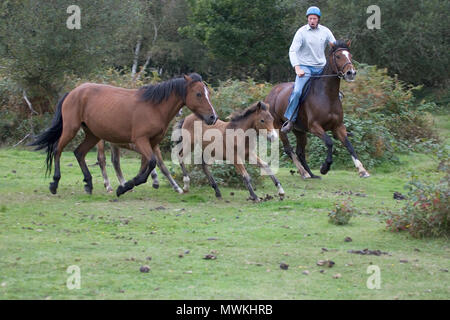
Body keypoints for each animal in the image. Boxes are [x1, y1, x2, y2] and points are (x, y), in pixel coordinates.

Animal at [29, 74, 216, 196]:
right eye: (199, 94)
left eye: (207, 93)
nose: (213, 117)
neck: (154, 107)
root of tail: (73, 92)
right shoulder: (140, 141)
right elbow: (152, 164)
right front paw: (123, 187)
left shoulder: (151, 143)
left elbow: (148, 168)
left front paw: (126, 186)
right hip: (71, 129)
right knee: (57, 150)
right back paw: (55, 183)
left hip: (93, 135)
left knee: (79, 153)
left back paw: (89, 184)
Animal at [264, 40, 370, 179]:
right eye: (338, 56)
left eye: (350, 55)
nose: (351, 73)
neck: (327, 95)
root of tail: (271, 93)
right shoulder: (315, 127)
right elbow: (329, 142)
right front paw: (325, 168)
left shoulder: (338, 127)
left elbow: (349, 145)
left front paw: (362, 170)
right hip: (279, 127)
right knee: (289, 149)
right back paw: (303, 172)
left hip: (300, 131)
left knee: (300, 152)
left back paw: (311, 174)